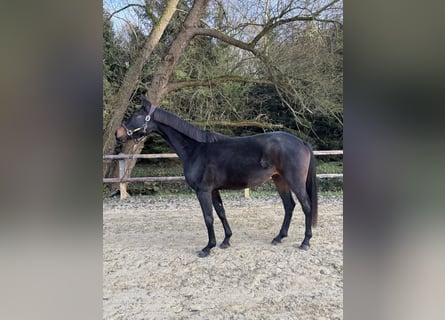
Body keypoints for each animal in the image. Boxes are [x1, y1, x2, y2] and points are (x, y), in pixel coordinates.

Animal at [114, 97, 316, 258]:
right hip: (279, 180)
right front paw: (226, 241)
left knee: (306, 206)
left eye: (136, 115)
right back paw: (279, 237)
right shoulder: (213, 191)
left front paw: (207, 248)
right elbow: (221, 213)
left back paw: (305, 242)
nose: (118, 134)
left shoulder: (203, 191)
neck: (195, 149)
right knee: (289, 206)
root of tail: (301, 142)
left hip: (295, 181)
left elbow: (208, 217)